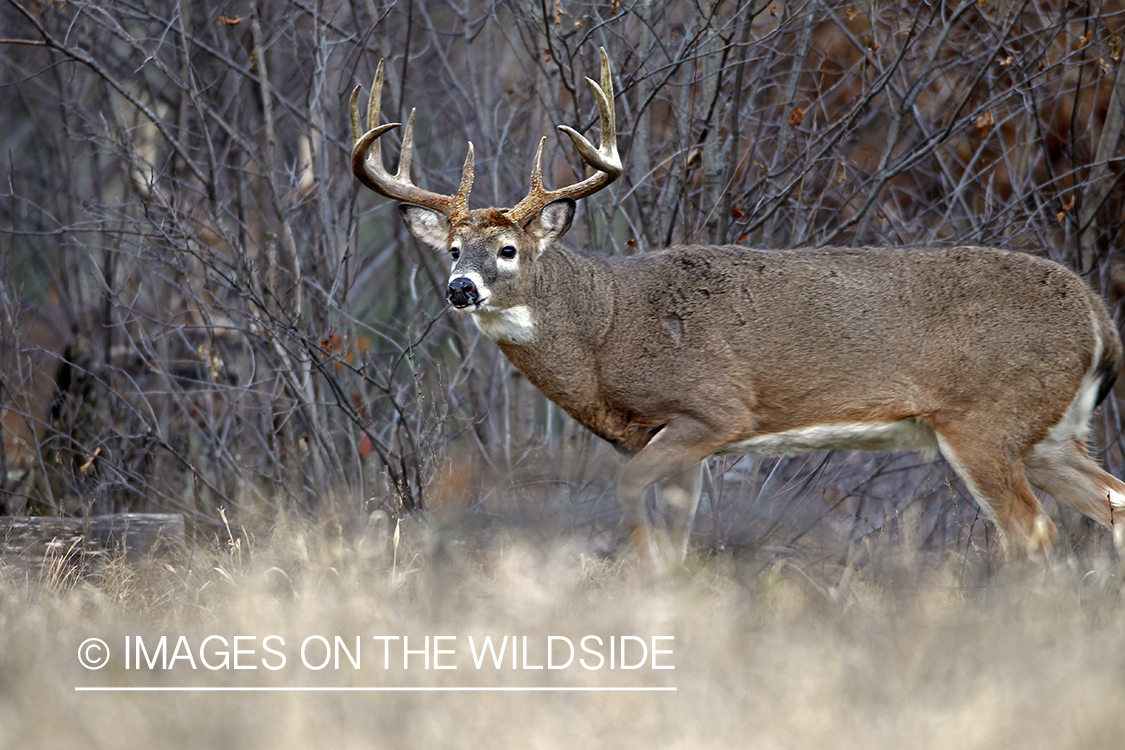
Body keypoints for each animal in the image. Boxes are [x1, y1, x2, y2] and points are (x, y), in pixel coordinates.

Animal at [351, 48, 1125, 562]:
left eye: (508, 250)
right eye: (453, 249)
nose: (461, 288)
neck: (606, 330)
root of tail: (1097, 315)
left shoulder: (713, 407)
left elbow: (632, 498)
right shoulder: (671, 438)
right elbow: (676, 535)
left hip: (985, 418)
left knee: (1033, 532)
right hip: (1049, 433)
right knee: (1112, 506)